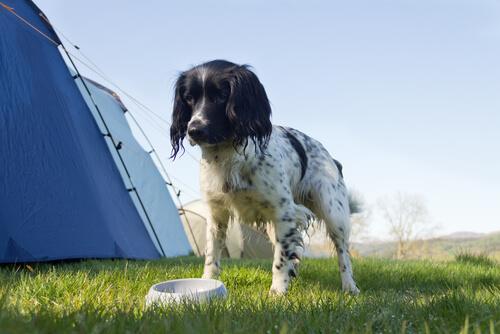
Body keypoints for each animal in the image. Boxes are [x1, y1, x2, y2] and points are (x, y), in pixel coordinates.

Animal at [171, 60, 360, 294]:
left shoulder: (283, 212)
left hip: (333, 212)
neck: (227, 155)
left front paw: (277, 291)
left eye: (221, 95)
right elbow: (212, 256)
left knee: (343, 252)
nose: (194, 130)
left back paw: (349, 286)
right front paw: (207, 282)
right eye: (189, 98)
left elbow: (280, 258)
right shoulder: (216, 214)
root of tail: (331, 157)